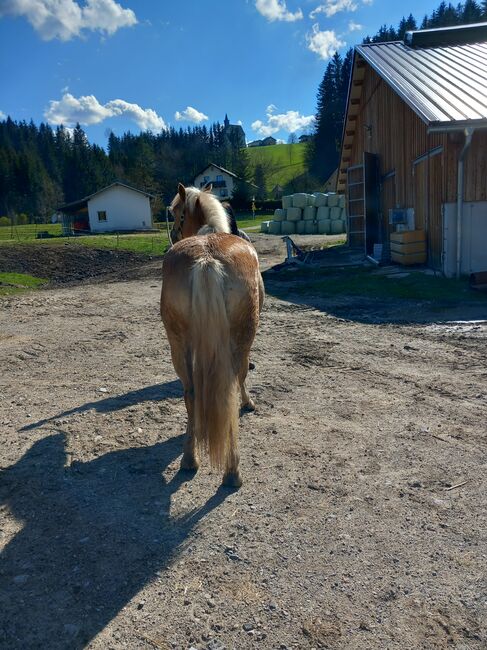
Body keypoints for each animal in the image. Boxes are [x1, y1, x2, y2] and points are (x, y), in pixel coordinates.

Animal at [161, 182, 264, 486]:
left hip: (178, 344)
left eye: (177, 213)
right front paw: (249, 403)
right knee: (233, 381)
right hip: (243, 337)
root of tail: (207, 260)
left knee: (191, 392)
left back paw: (189, 458)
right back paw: (232, 471)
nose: (173, 234)